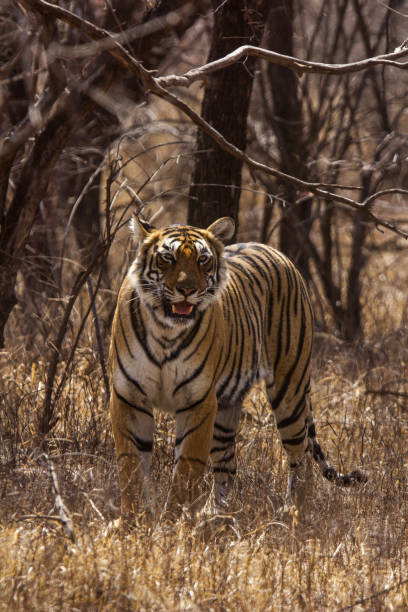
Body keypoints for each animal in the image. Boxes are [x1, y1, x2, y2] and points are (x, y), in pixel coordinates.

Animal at [109, 213, 366, 520]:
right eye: (167, 258)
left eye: (202, 260)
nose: (187, 291)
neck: (165, 331)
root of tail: (278, 252)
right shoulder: (129, 395)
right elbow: (130, 466)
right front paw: (134, 520)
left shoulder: (198, 401)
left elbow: (186, 469)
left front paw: (173, 520)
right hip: (226, 407)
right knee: (228, 464)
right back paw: (213, 515)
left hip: (289, 389)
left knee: (300, 452)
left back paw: (294, 511)